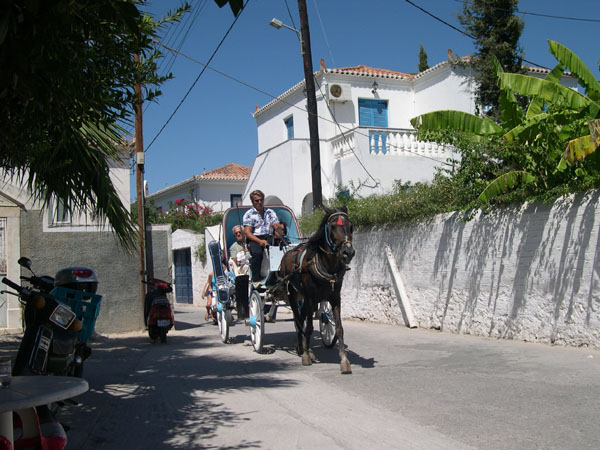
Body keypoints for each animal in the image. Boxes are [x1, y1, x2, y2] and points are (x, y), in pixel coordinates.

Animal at [278, 206, 356, 374]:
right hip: (293, 295)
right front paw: (307, 355)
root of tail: (287, 253)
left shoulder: (335, 298)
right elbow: (309, 327)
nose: (348, 252)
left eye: (351, 226)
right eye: (332, 227)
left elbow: (339, 328)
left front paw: (344, 361)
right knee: (298, 319)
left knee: (300, 318)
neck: (327, 265)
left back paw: (302, 346)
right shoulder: (310, 297)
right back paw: (303, 348)